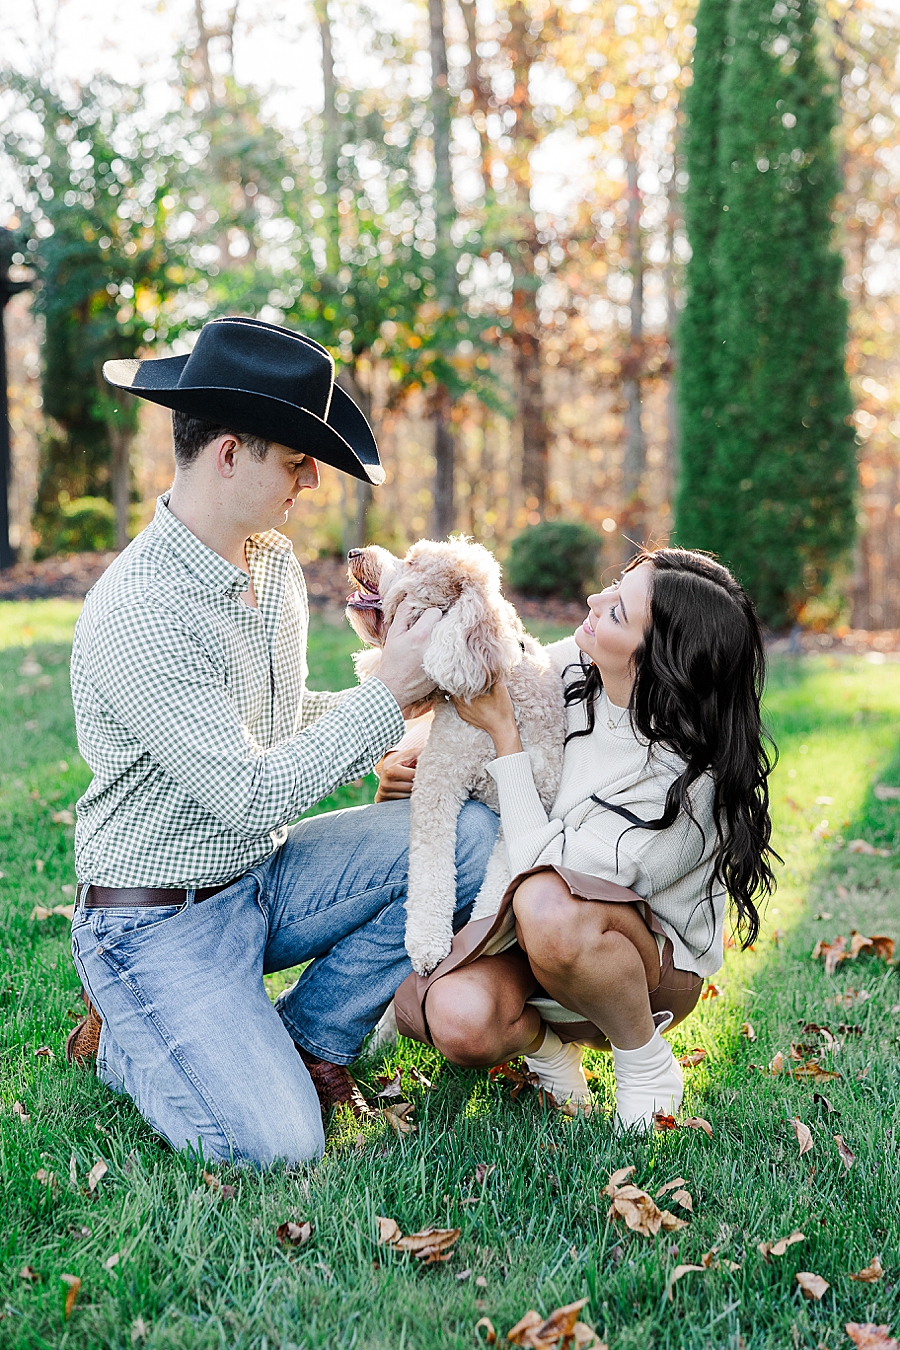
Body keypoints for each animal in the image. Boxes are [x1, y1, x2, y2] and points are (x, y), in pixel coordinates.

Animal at [345, 534, 564, 982]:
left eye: (412, 562)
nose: (356, 552)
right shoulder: (438, 780)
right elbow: (431, 868)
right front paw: (427, 943)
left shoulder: (528, 811)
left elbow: (501, 883)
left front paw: (480, 934)